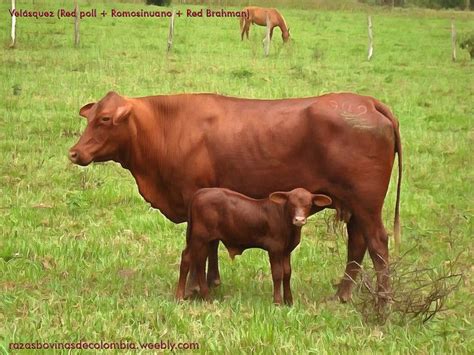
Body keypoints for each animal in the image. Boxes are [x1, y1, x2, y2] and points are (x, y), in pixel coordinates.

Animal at [175, 189, 334, 306]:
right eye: (291, 203)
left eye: (308, 204)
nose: (299, 220)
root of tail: (200, 193)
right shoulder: (274, 248)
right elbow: (277, 273)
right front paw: (277, 302)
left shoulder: (286, 250)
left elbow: (287, 272)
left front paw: (289, 301)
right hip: (198, 237)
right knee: (187, 258)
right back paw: (180, 297)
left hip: (207, 239)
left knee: (200, 262)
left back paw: (207, 297)